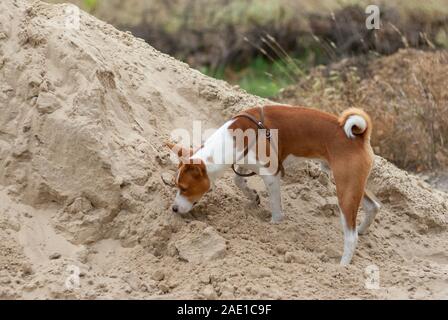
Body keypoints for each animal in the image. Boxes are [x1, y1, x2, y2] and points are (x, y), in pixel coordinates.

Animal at [166, 105, 380, 264]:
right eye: (176, 185)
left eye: (184, 188)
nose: (174, 209)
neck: (234, 137)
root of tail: (359, 136)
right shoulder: (245, 163)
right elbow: (238, 180)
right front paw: (252, 196)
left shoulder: (271, 175)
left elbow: (276, 208)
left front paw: (274, 225)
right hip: (352, 186)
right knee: (374, 206)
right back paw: (362, 228)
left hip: (345, 190)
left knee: (351, 237)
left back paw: (342, 267)